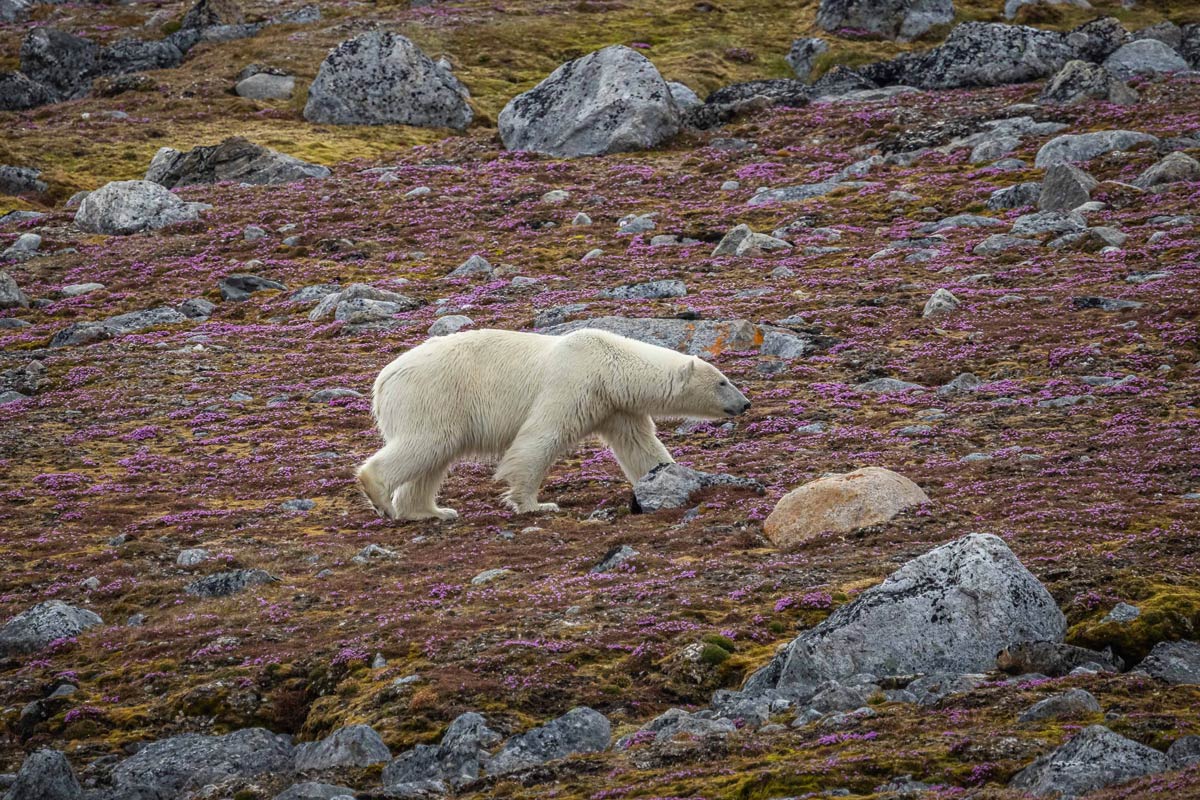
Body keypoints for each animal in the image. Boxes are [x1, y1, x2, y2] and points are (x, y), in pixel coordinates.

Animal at [356, 327, 751, 520]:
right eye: (722, 382)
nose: (746, 403)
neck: (609, 365)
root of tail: (384, 379)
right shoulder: (574, 382)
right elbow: (541, 436)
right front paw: (534, 504)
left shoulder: (614, 406)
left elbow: (640, 445)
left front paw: (673, 478)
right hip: (435, 395)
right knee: (427, 443)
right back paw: (381, 496)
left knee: (434, 458)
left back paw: (429, 511)